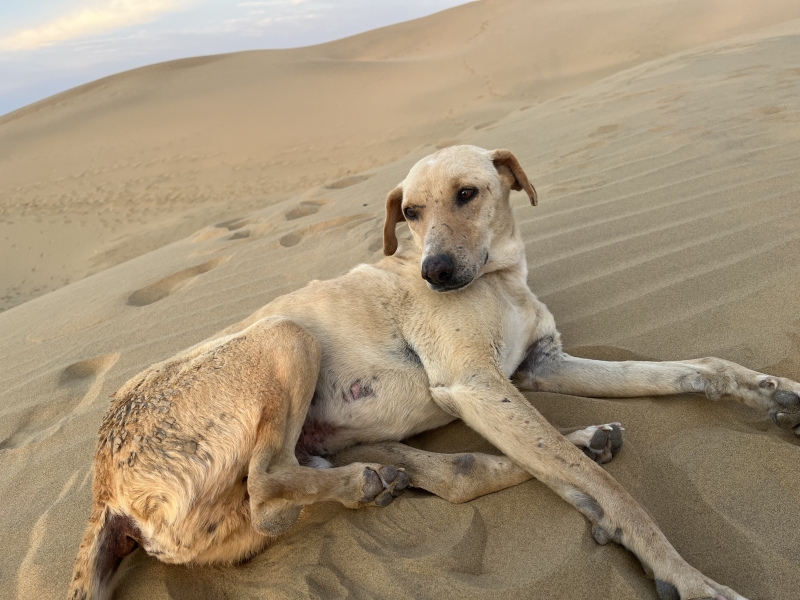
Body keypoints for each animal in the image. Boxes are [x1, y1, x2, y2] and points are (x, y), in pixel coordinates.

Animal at [70, 145, 800, 600]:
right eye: (410, 214)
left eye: (468, 194)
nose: (435, 273)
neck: (501, 279)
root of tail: (104, 490)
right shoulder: (475, 384)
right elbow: (613, 493)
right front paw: (688, 576)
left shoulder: (536, 369)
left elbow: (693, 369)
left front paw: (772, 391)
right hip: (285, 340)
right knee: (268, 486)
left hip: (329, 436)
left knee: (455, 474)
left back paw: (575, 440)